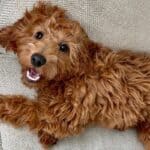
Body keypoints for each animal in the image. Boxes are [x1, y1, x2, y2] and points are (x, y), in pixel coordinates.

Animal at [0, 1, 150, 150]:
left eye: (64, 47)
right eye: (39, 34)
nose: (37, 59)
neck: (71, 75)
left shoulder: (63, 117)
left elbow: (25, 107)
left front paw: (2, 103)